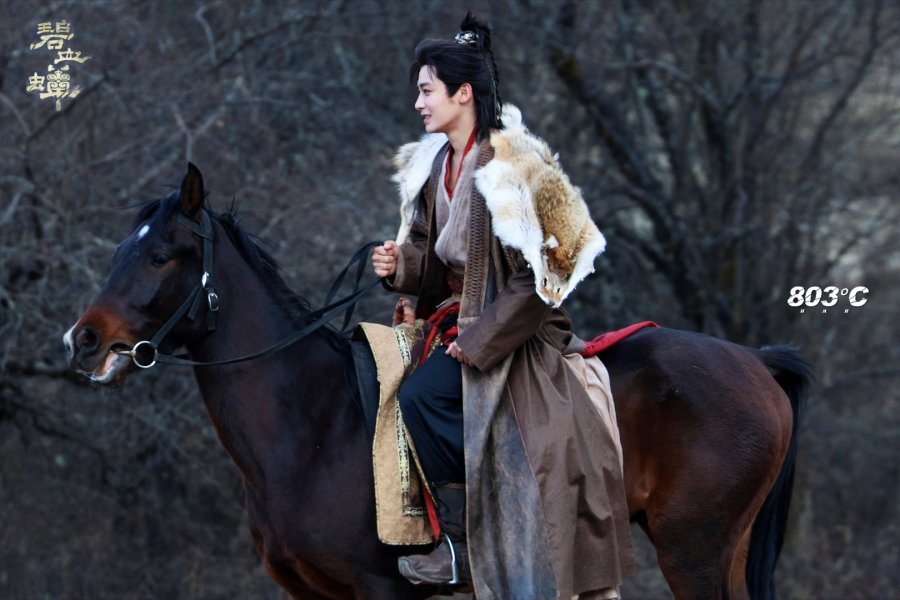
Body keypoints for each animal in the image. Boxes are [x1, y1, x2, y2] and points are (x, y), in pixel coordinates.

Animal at [65, 164, 809, 600]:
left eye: (163, 254)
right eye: (123, 248)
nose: (84, 340)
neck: (313, 425)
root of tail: (756, 363)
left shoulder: (380, 590)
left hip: (694, 549)